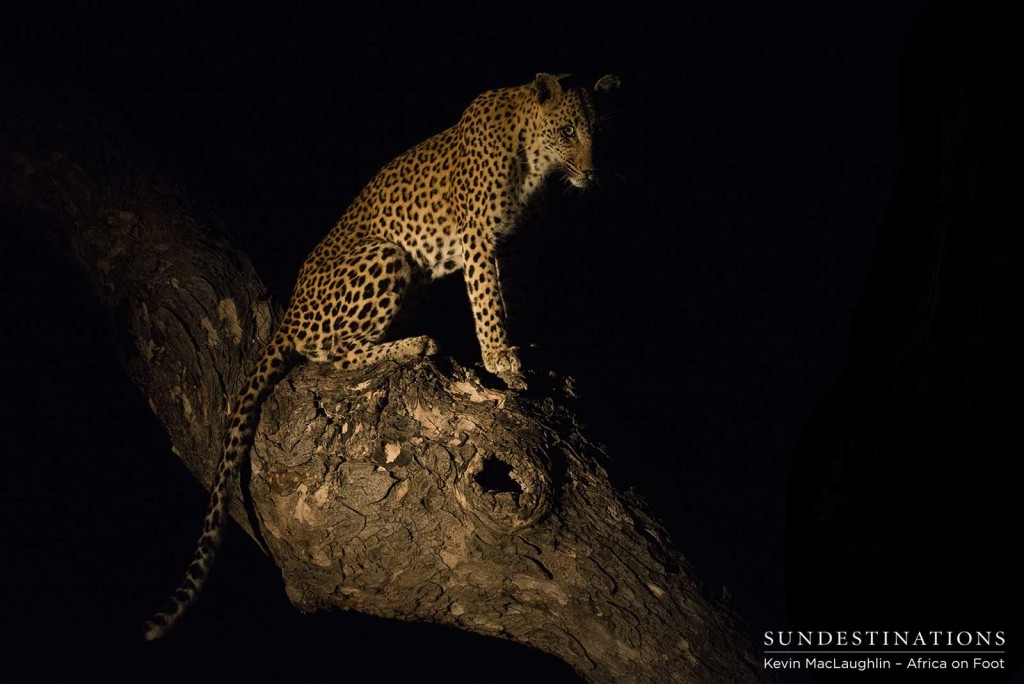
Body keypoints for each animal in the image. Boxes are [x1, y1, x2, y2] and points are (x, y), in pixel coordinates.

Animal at [142, 72, 622, 638]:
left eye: (597, 130)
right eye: (568, 130)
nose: (591, 171)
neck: (536, 164)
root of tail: (289, 314)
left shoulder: (514, 246)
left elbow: (511, 299)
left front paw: (520, 350)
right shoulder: (480, 239)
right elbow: (487, 302)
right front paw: (499, 359)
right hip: (387, 255)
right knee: (328, 351)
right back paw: (413, 345)